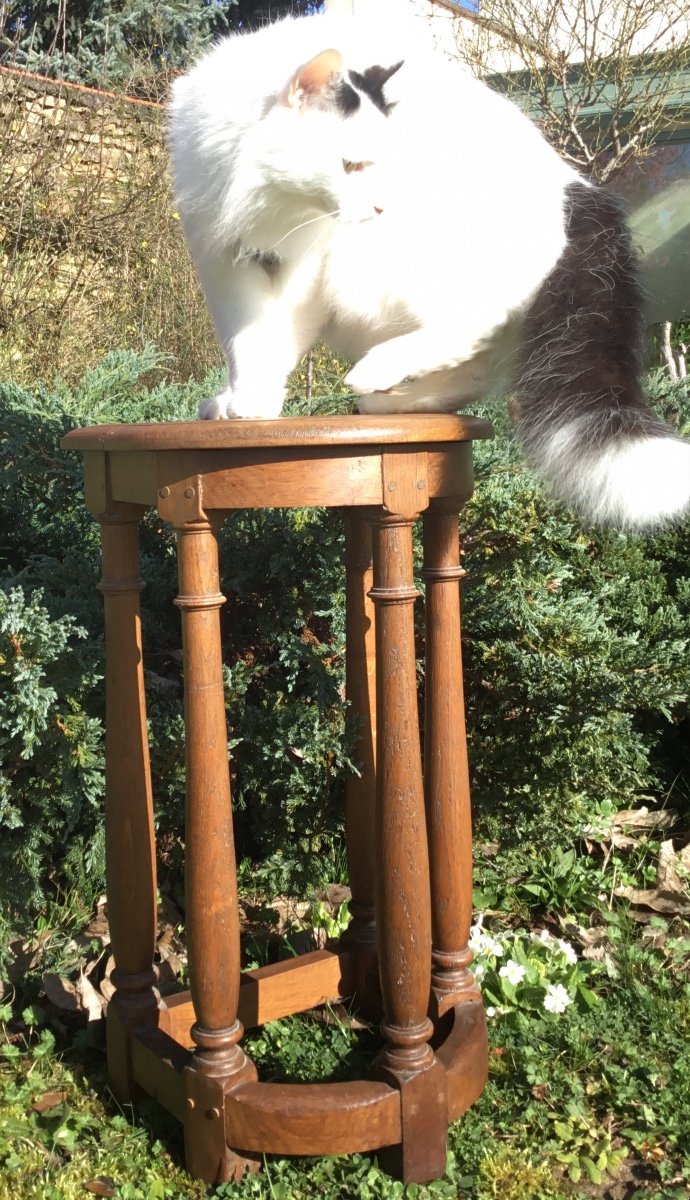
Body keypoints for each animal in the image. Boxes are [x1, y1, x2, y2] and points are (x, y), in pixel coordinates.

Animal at [168, 9, 690, 525]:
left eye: (378, 163)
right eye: (351, 165)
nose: (381, 205)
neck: (266, 198)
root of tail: (581, 190)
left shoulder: (308, 268)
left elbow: (273, 340)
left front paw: (254, 401)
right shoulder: (222, 259)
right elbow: (245, 341)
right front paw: (239, 399)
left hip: (385, 268)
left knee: (475, 326)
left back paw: (376, 373)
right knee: (479, 367)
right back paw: (394, 401)